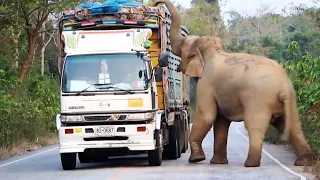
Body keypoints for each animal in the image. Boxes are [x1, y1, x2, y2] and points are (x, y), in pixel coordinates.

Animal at [153, 0, 316, 167]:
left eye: (183, 47)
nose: (157, 3)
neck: (213, 51)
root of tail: (283, 84)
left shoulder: (207, 83)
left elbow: (207, 116)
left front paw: (196, 160)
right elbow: (221, 121)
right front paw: (217, 163)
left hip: (258, 100)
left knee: (255, 126)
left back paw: (250, 164)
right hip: (290, 100)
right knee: (293, 126)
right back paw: (304, 162)